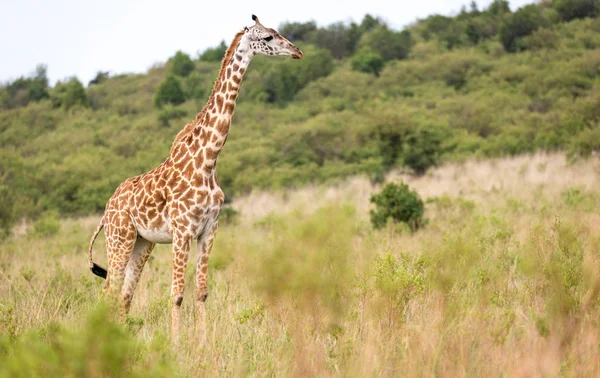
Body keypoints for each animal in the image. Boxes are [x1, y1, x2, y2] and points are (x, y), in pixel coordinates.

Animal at [86, 14, 302, 342]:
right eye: (267, 37)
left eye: (278, 32)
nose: (297, 51)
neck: (208, 161)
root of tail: (106, 210)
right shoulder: (182, 231)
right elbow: (176, 293)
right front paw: (176, 345)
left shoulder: (209, 229)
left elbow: (201, 292)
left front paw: (203, 344)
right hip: (119, 238)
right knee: (107, 292)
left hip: (141, 243)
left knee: (124, 294)